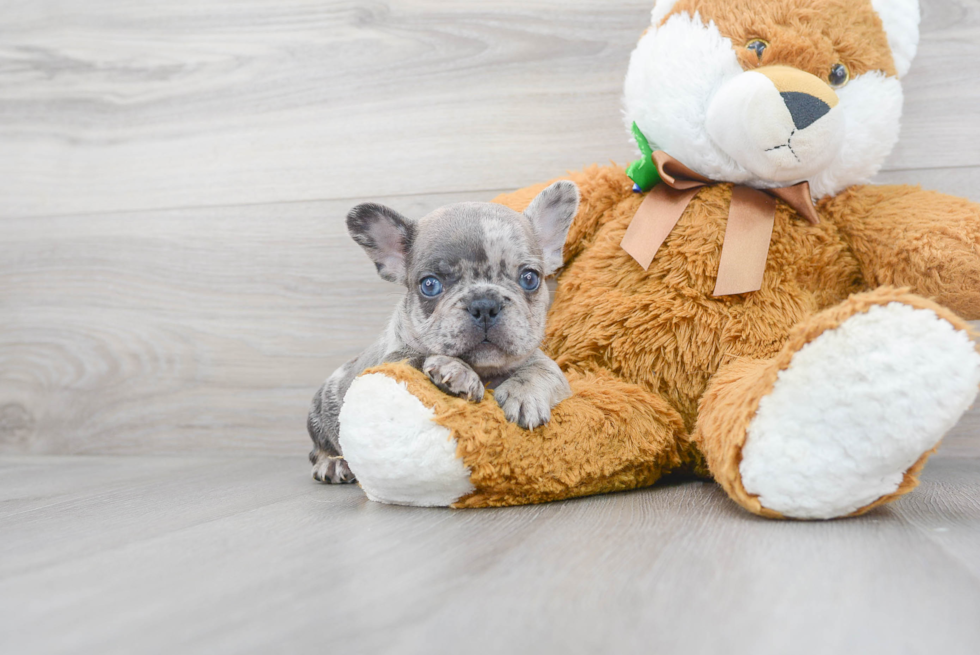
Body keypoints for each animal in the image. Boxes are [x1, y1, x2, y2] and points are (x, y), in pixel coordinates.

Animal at [310, 182, 580, 484]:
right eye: (430, 285)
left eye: (530, 278)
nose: (484, 304)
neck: (486, 371)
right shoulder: (391, 361)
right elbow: (418, 357)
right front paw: (456, 370)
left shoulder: (544, 363)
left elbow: (541, 370)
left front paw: (525, 394)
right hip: (320, 412)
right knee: (320, 448)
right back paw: (333, 464)